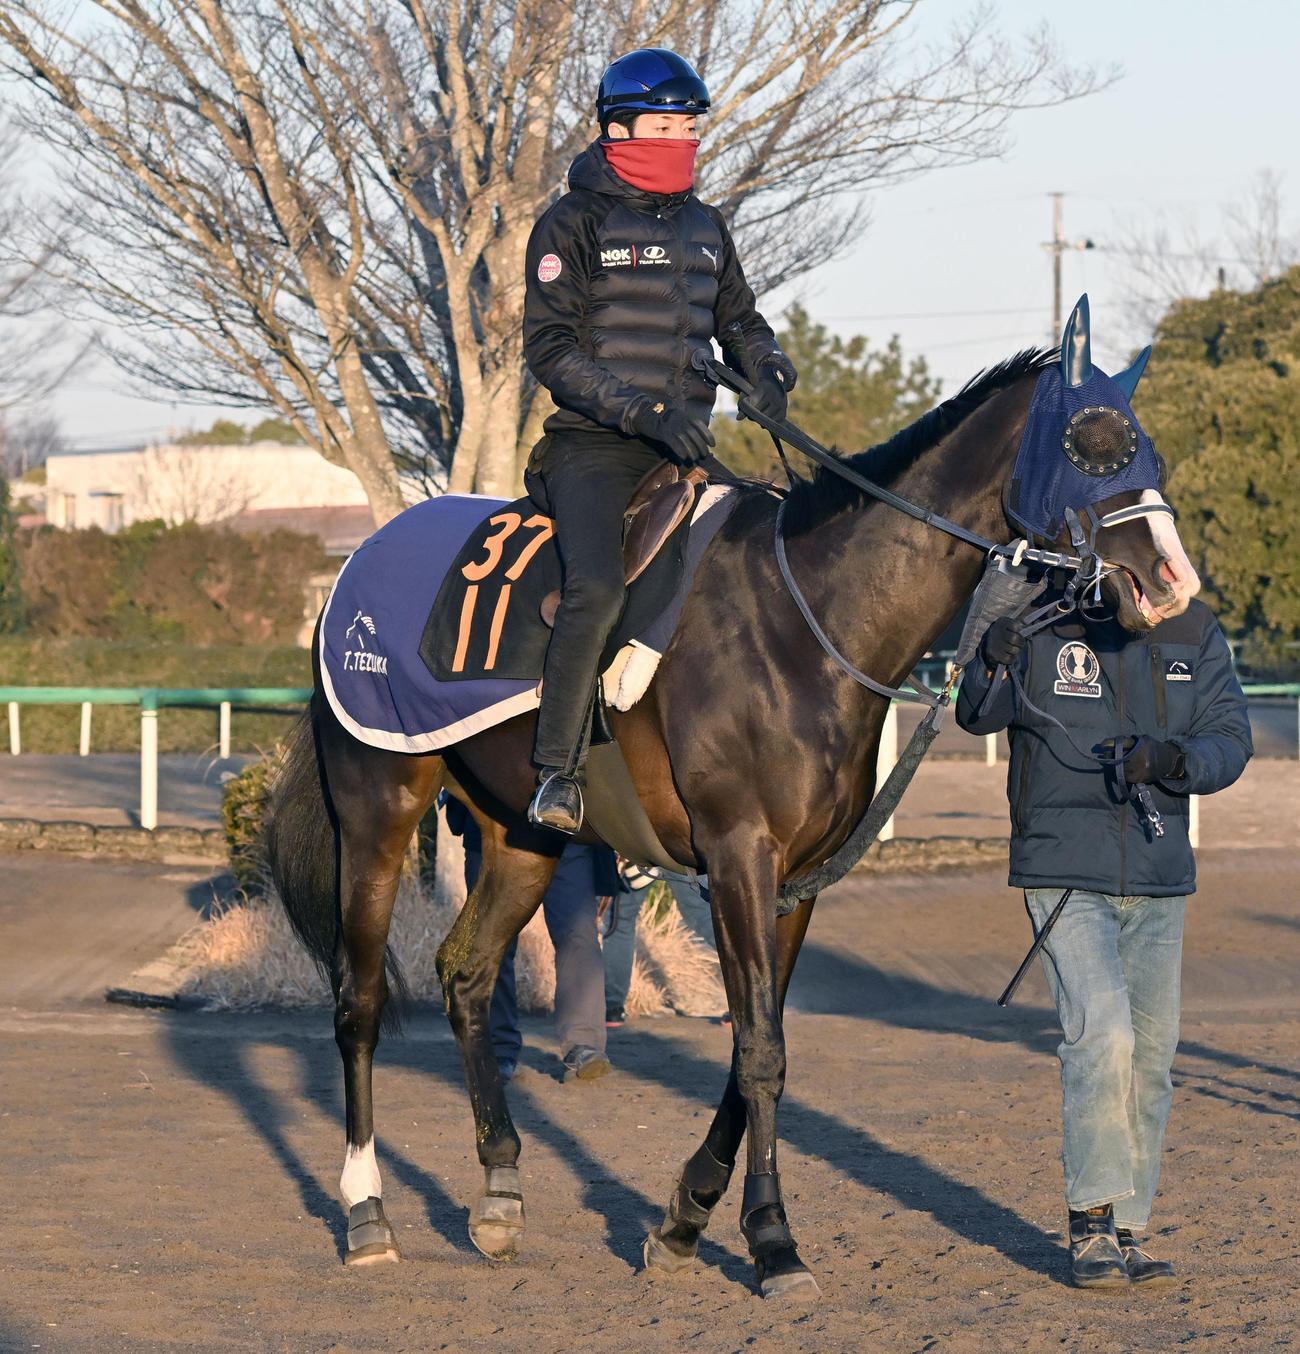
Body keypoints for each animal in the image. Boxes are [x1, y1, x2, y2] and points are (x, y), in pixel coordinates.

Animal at [265, 316, 1201, 1299]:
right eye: (1090, 445)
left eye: (1147, 449)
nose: (1170, 579)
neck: (807, 616)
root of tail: (359, 567)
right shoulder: (738, 857)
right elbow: (760, 1051)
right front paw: (773, 1241)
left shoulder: (794, 879)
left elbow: (758, 1042)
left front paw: (685, 1218)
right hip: (377, 806)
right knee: (360, 1000)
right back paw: (368, 1212)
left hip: (520, 835)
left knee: (467, 974)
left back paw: (499, 1193)